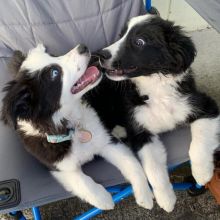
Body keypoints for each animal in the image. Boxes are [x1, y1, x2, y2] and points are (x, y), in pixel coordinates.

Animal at [1, 43, 155, 210]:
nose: (83, 47)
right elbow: (82, 181)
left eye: (53, 55)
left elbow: (131, 164)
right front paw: (103, 199)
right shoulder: (58, 166)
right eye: (54, 73)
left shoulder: (105, 140)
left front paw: (144, 194)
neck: (70, 124)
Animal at [87, 14, 219, 212]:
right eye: (120, 35)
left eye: (139, 42)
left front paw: (202, 174)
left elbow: (199, 143)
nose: (101, 55)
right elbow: (153, 169)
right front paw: (166, 199)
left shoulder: (204, 105)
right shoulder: (141, 132)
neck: (156, 87)